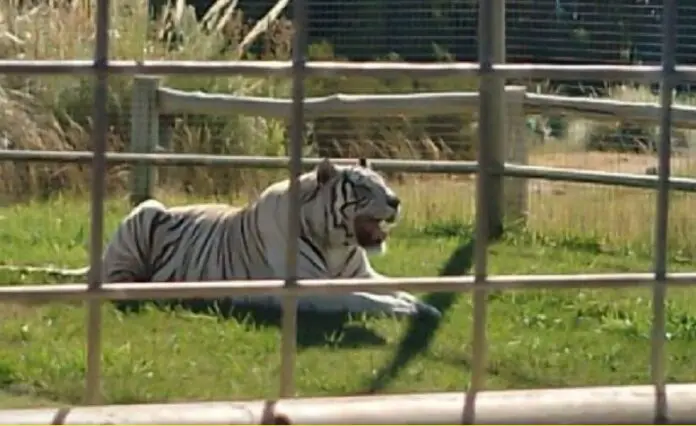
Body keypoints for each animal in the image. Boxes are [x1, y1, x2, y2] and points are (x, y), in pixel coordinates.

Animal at [3, 158, 441, 318]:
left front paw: (421, 303)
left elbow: (392, 287)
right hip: (145, 213)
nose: (396, 201)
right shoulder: (309, 288)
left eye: (384, 182)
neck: (337, 243)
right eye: (363, 189)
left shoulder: (362, 275)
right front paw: (408, 309)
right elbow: (367, 300)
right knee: (120, 284)